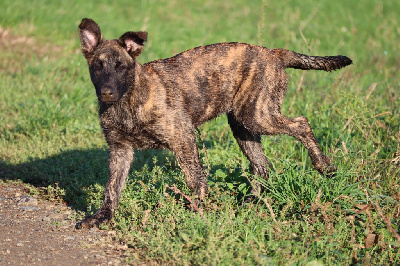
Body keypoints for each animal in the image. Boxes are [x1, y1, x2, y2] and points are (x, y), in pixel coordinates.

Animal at [75, 18, 350, 229]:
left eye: (121, 67)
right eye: (97, 67)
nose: (107, 93)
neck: (128, 100)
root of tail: (273, 52)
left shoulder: (183, 137)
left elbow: (194, 178)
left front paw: (197, 210)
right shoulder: (120, 150)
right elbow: (111, 189)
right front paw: (101, 217)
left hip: (258, 116)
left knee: (301, 124)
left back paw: (324, 166)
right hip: (243, 126)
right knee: (262, 167)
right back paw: (250, 203)